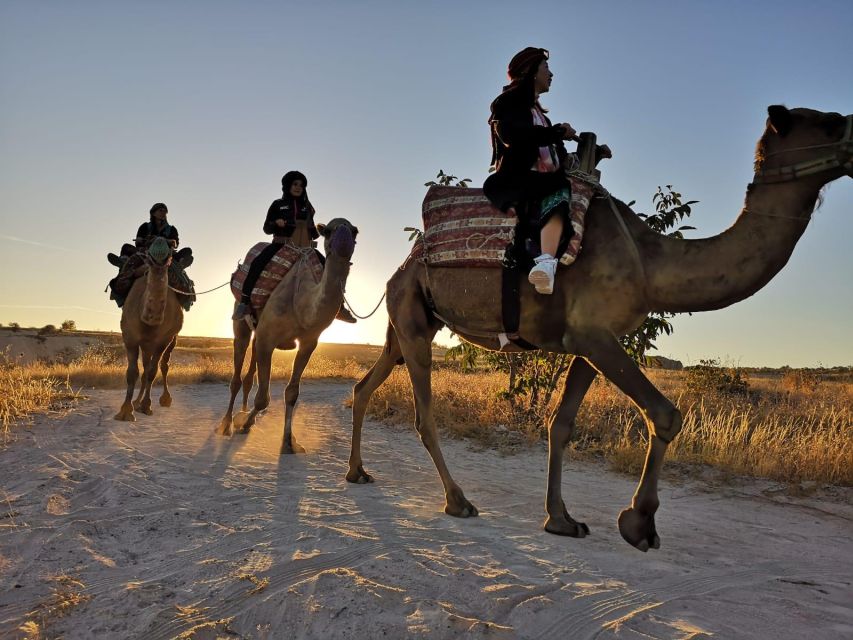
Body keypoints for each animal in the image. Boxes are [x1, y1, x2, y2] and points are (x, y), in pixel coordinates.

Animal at [114, 238, 184, 422]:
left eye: (171, 248)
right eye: (148, 253)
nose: (159, 257)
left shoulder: (163, 340)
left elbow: (154, 371)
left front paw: (147, 406)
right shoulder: (129, 335)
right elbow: (133, 372)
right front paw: (126, 411)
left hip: (170, 339)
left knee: (163, 365)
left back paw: (164, 399)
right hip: (145, 344)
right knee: (144, 369)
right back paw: (136, 402)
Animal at [218, 220, 358, 456]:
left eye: (355, 231)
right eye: (328, 231)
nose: (344, 244)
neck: (300, 303)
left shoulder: (308, 343)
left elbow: (291, 393)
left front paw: (288, 442)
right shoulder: (268, 339)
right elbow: (263, 398)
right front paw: (244, 423)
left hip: (258, 332)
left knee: (248, 373)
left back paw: (243, 412)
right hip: (241, 322)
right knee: (237, 372)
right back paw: (227, 423)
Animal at [348, 107, 852, 552]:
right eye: (830, 122)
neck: (648, 263)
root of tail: (404, 263)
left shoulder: (588, 342)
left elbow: (561, 423)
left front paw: (560, 519)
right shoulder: (594, 335)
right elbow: (665, 414)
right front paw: (639, 523)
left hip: (405, 321)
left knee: (364, 384)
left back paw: (357, 472)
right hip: (413, 318)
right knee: (423, 415)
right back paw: (458, 501)